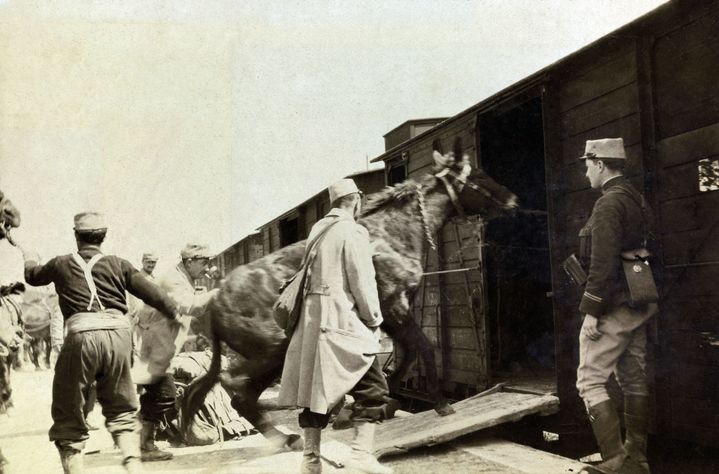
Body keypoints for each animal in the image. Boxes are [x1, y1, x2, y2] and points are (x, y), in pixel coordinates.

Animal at [183, 146, 520, 450]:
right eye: (477, 175)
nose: (512, 200)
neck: (390, 236)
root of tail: (215, 300)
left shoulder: (390, 314)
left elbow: (406, 354)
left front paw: (369, 406)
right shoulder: (394, 306)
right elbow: (422, 348)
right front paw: (439, 403)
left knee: (232, 393)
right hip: (270, 353)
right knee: (235, 387)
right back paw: (285, 435)